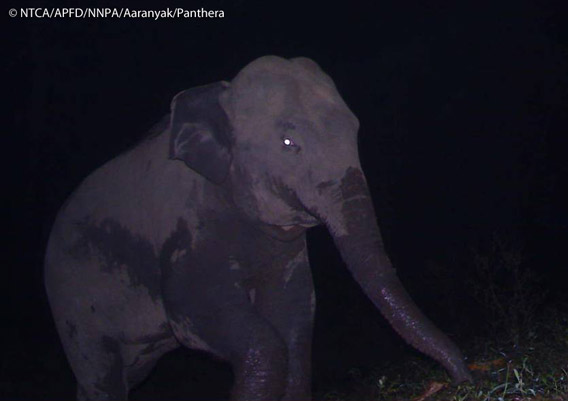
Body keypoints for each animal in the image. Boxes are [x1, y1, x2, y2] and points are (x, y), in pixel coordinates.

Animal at [43, 54, 470, 400]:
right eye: (288, 143)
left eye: (355, 129)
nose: (463, 378)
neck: (221, 95)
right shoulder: (188, 229)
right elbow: (199, 315)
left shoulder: (284, 251)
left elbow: (294, 316)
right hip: (73, 300)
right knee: (103, 376)